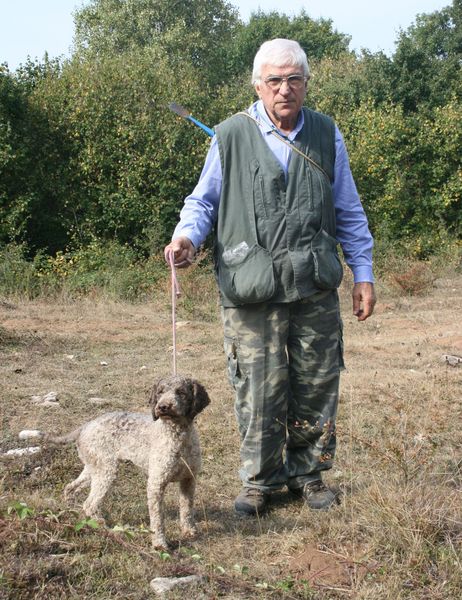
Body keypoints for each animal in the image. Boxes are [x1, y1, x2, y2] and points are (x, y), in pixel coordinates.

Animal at [49, 376, 210, 548]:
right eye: (160, 392)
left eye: (181, 392)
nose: (163, 407)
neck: (179, 436)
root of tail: (86, 426)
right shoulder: (156, 484)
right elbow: (158, 519)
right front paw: (159, 543)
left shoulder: (189, 479)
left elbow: (187, 510)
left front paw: (189, 531)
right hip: (107, 471)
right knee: (90, 504)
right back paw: (105, 528)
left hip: (94, 468)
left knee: (70, 488)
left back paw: (72, 511)